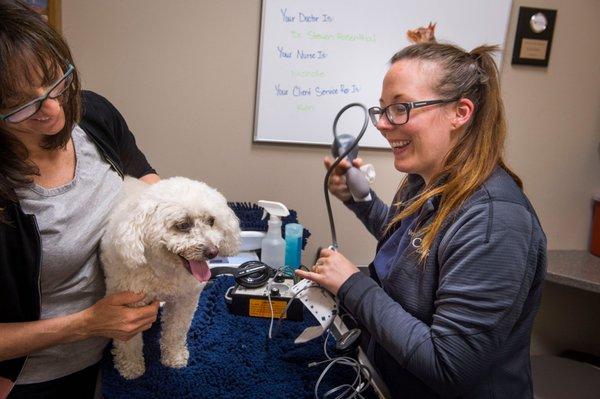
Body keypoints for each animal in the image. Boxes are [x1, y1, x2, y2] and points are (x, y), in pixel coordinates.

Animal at [100, 177, 239, 380]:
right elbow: (128, 342)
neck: (164, 270)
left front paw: (174, 357)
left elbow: (176, 331)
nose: (213, 252)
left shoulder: (184, 300)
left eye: (211, 221)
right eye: (183, 224)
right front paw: (131, 368)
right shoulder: (128, 308)